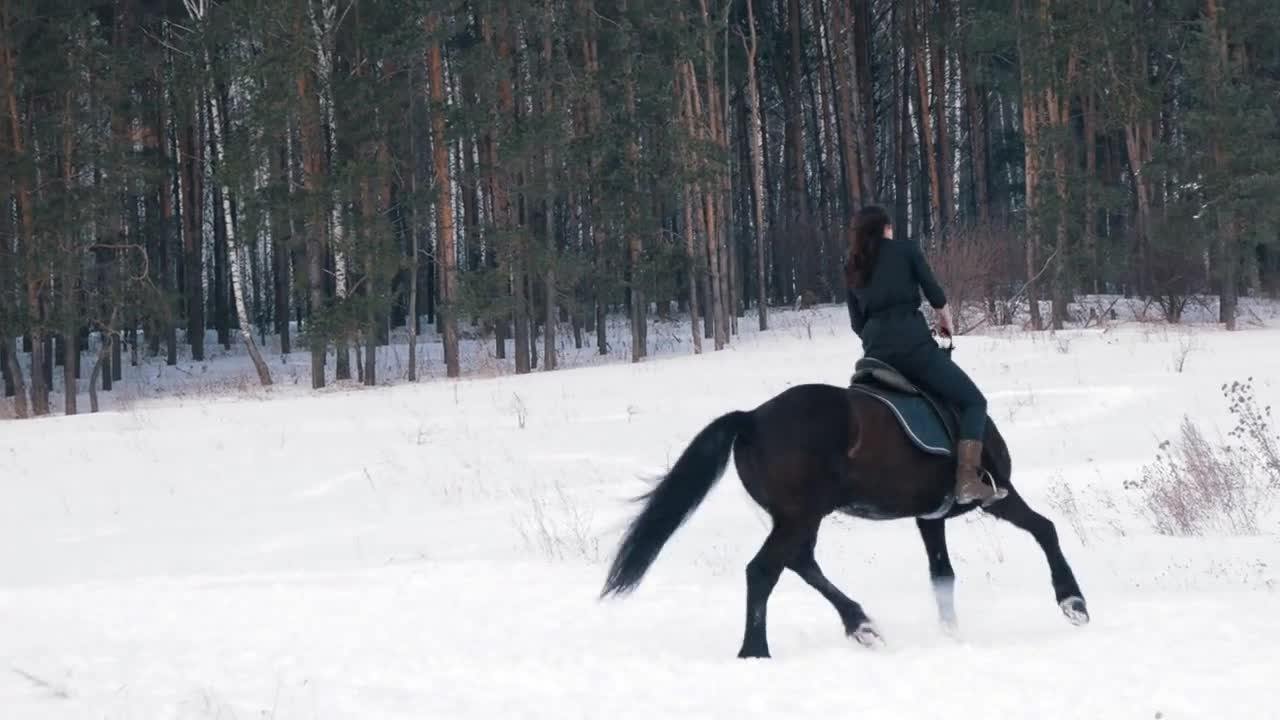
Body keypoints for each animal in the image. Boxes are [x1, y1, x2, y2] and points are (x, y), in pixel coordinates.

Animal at [599, 358, 1090, 655]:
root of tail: (751, 419)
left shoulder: (929, 517)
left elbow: (942, 573)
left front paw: (952, 634)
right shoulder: (996, 496)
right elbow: (1045, 528)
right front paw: (1073, 602)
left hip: (798, 517)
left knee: (798, 562)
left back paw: (860, 624)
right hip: (801, 515)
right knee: (764, 570)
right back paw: (756, 651)